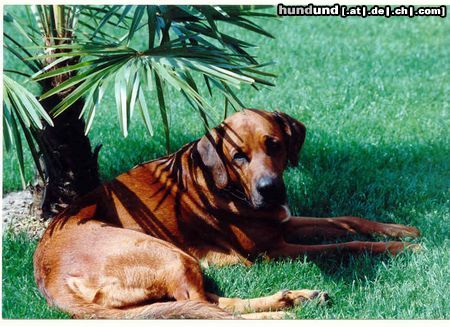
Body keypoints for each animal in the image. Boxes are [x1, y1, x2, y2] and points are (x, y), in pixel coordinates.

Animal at [33, 109, 420, 320]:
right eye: (238, 156)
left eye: (274, 145)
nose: (269, 189)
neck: (227, 185)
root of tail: (48, 275)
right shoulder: (273, 249)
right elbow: (346, 245)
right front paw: (400, 249)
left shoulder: (283, 220)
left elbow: (347, 221)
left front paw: (401, 230)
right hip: (166, 253)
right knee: (205, 308)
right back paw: (284, 309)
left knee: (206, 304)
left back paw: (293, 298)